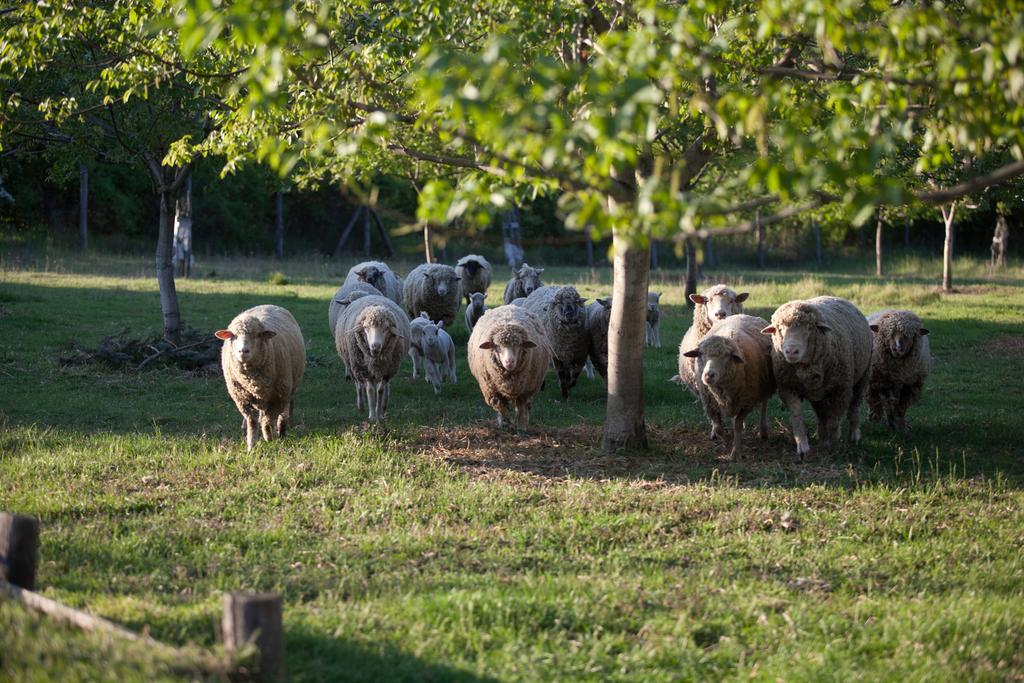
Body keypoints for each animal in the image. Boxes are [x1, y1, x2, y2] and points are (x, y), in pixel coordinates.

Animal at [215, 307, 303, 450]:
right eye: (233, 336)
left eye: (257, 335)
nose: (243, 351)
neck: (251, 380)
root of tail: (270, 305)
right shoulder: (242, 399)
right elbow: (252, 422)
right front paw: (251, 446)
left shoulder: (277, 396)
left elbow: (268, 421)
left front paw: (269, 438)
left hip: (287, 389)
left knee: (283, 410)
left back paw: (282, 429)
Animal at [679, 315, 774, 458]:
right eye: (700, 354)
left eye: (726, 356)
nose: (708, 375)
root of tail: (742, 315)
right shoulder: (710, 404)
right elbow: (718, 428)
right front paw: (727, 441)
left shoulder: (746, 403)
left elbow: (737, 425)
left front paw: (735, 452)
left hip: (765, 385)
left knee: (764, 404)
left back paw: (763, 431)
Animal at [761, 294, 872, 458]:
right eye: (780, 329)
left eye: (809, 328)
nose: (791, 351)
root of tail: (835, 297)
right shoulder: (788, 389)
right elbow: (797, 417)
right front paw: (803, 447)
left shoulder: (841, 390)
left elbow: (834, 419)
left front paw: (834, 443)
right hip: (818, 392)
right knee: (821, 413)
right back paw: (822, 436)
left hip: (863, 377)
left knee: (854, 407)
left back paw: (854, 435)